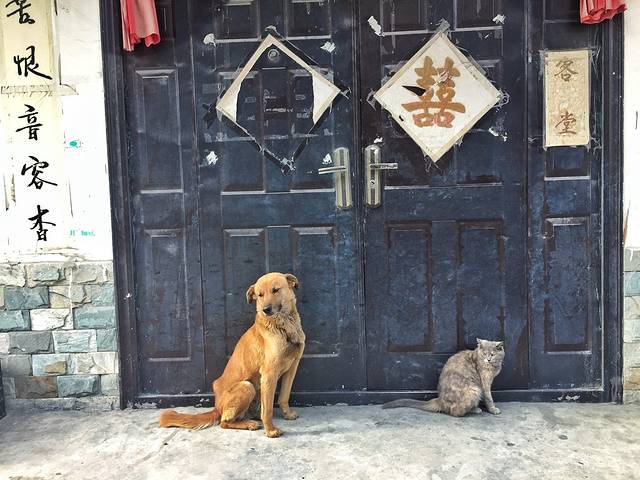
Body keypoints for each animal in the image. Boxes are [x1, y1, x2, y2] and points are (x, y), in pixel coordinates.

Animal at [158, 272, 305, 438]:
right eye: (260, 295)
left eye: (275, 290)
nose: (265, 310)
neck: (283, 326)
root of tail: (216, 407)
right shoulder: (269, 373)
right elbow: (268, 410)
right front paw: (270, 430)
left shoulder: (292, 367)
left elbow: (284, 396)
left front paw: (287, 414)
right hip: (247, 386)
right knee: (224, 422)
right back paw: (249, 423)